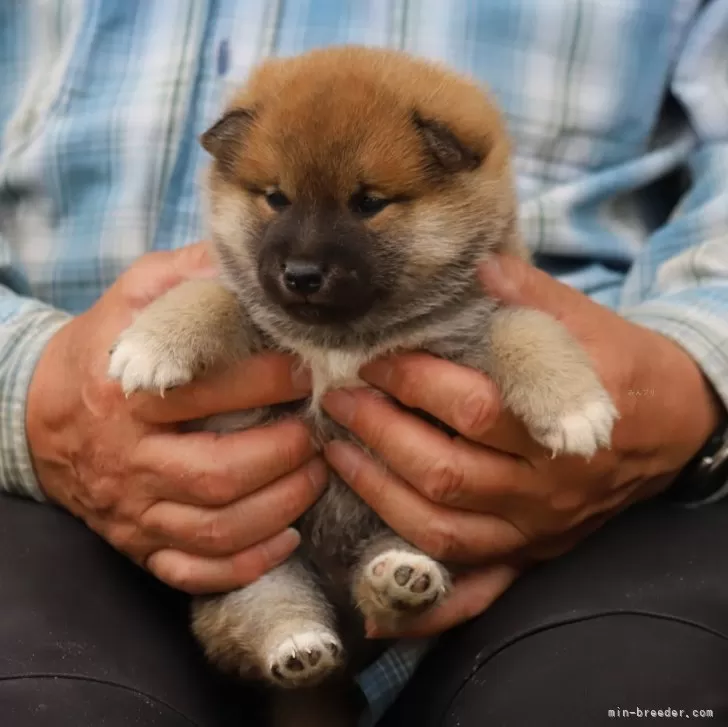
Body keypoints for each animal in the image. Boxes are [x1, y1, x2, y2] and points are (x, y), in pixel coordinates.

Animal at [108, 47, 616, 727]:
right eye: (277, 198)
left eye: (369, 203)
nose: (300, 274)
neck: (344, 339)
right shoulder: (256, 321)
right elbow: (209, 294)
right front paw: (149, 344)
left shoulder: (476, 324)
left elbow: (530, 327)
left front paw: (575, 408)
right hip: (258, 566)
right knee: (269, 617)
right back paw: (300, 646)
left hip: (415, 532)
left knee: (385, 599)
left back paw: (399, 582)